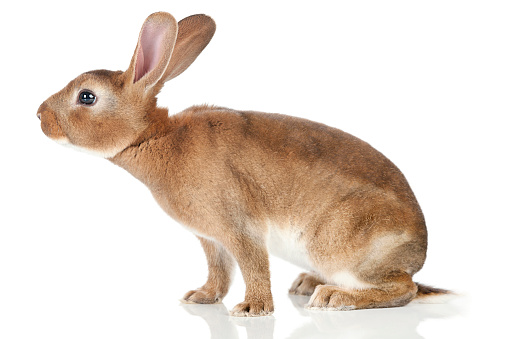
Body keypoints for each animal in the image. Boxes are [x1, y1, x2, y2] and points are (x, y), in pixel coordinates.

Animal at [35, 11, 448, 318]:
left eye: (87, 97)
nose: (39, 115)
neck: (154, 136)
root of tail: (417, 253)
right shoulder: (211, 238)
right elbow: (219, 270)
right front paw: (201, 296)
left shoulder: (239, 226)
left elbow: (253, 266)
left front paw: (253, 309)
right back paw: (308, 284)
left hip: (343, 242)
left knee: (403, 288)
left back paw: (333, 297)